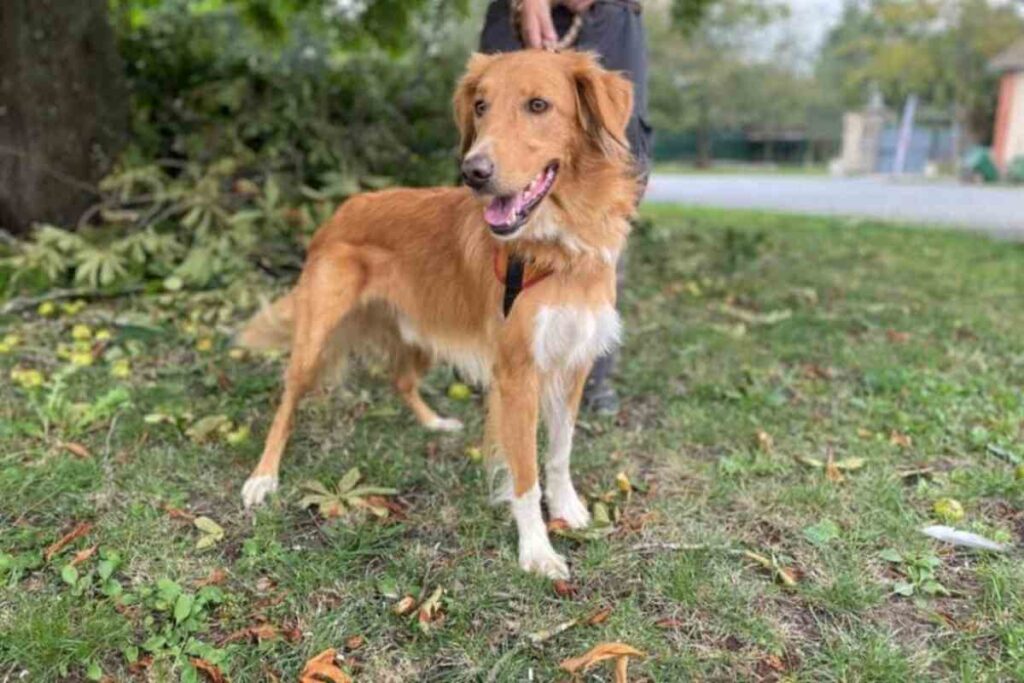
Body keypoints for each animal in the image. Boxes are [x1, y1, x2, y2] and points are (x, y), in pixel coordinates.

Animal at [237, 50, 630, 581]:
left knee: (400, 379)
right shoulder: (517, 375)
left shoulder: (574, 362)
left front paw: (567, 509)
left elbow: (560, 450)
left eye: (538, 105)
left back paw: (434, 424)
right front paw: (536, 550)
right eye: (481, 106)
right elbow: (524, 473)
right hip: (315, 338)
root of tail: (343, 209)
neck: (559, 246)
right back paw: (263, 477)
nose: (473, 172)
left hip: (421, 332)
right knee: (287, 403)